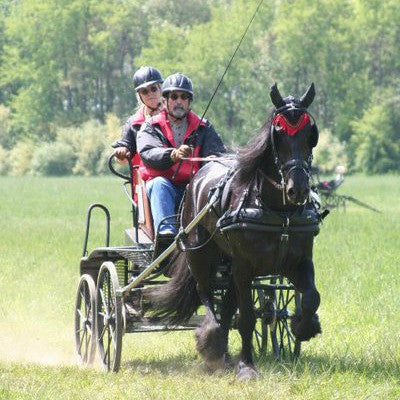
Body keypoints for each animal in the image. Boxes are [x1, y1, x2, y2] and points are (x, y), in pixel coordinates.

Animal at [147, 83, 322, 378]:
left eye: (311, 133)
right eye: (278, 132)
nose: (297, 189)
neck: (280, 213)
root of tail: (199, 174)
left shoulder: (299, 261)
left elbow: (311, 298)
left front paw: (302, 325)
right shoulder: (244, 267)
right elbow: (247, 318)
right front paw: (247, 367)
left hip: (227, 264)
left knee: (227, 306)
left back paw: (224, 353)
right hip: (201, 255)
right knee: (207, 294)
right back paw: (212, 343)